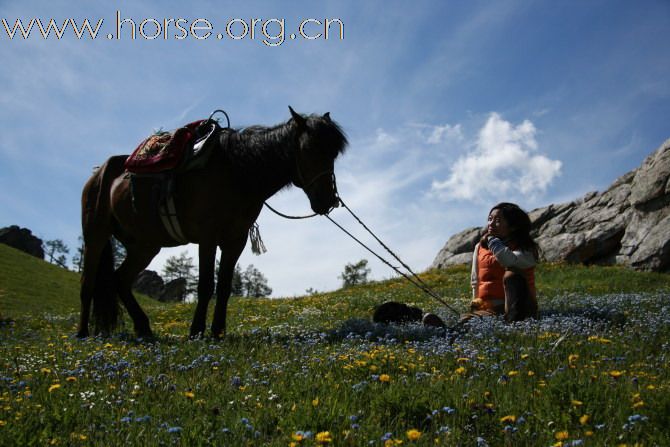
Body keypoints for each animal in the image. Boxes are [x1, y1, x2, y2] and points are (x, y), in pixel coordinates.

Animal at [79, 107, 350, 340]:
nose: (329, 200)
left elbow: (225, 287)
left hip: (145, 245)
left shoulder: (235, 240)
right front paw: (197, 331)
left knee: (120, 280)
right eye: (310, 148)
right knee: (88, 284)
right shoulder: (207, 237)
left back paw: (144, 328)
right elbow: (206, 285)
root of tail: (99, 174)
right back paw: (82, 333)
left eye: (333, 154)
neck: (236, 172)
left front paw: (218, 332)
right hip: (96, 236)